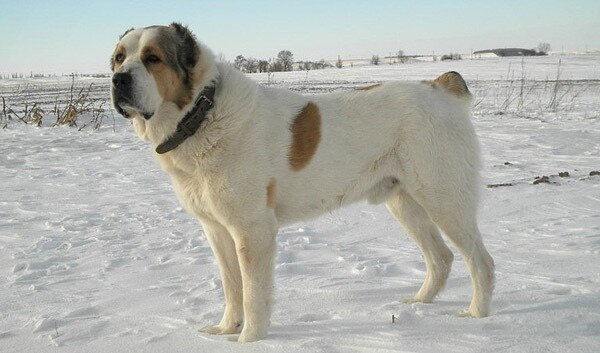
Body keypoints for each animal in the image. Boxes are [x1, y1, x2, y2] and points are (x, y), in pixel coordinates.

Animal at [110, 22, 494, 340]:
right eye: (118, 59)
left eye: (153, 58)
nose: (118, 80)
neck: (202, 114)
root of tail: (440, 88)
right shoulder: (217, 230)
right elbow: (232, 288)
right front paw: (224, 330)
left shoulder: (253, 231)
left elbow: (253, 294)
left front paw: (249, 341)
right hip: (405, 204)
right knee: (441, 257)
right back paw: (417, 304)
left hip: (445, 199)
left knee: (480, 262)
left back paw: (476, 316)